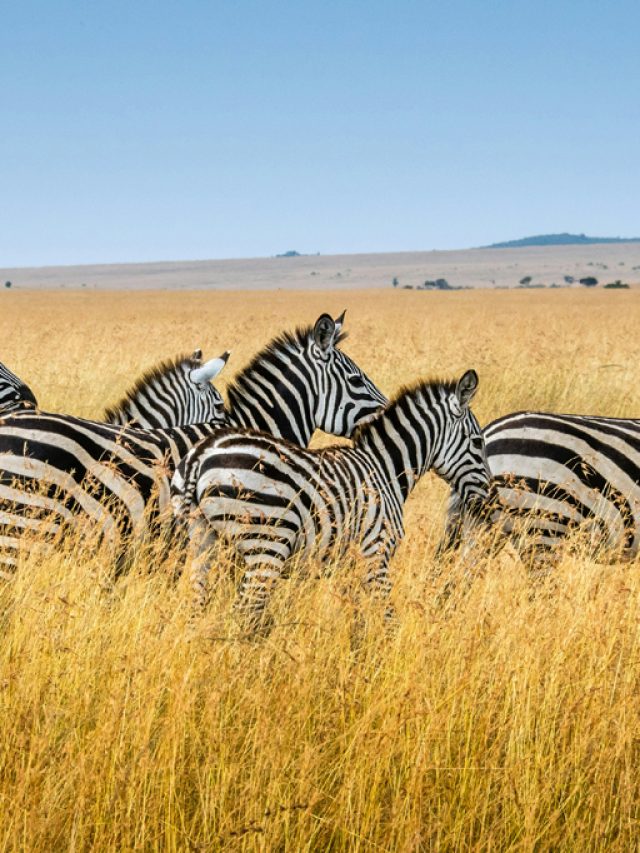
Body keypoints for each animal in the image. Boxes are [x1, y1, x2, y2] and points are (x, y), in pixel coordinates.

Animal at [170, 369, 490, 633]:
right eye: (477, 442)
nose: (488, 497)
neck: (385, 470)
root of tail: (201, 455)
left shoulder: (350, 564)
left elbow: (358, 619)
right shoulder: (376, 553)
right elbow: (387, 618)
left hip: (203, 540)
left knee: (197, 608)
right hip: (266, 546)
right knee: (243, 613)